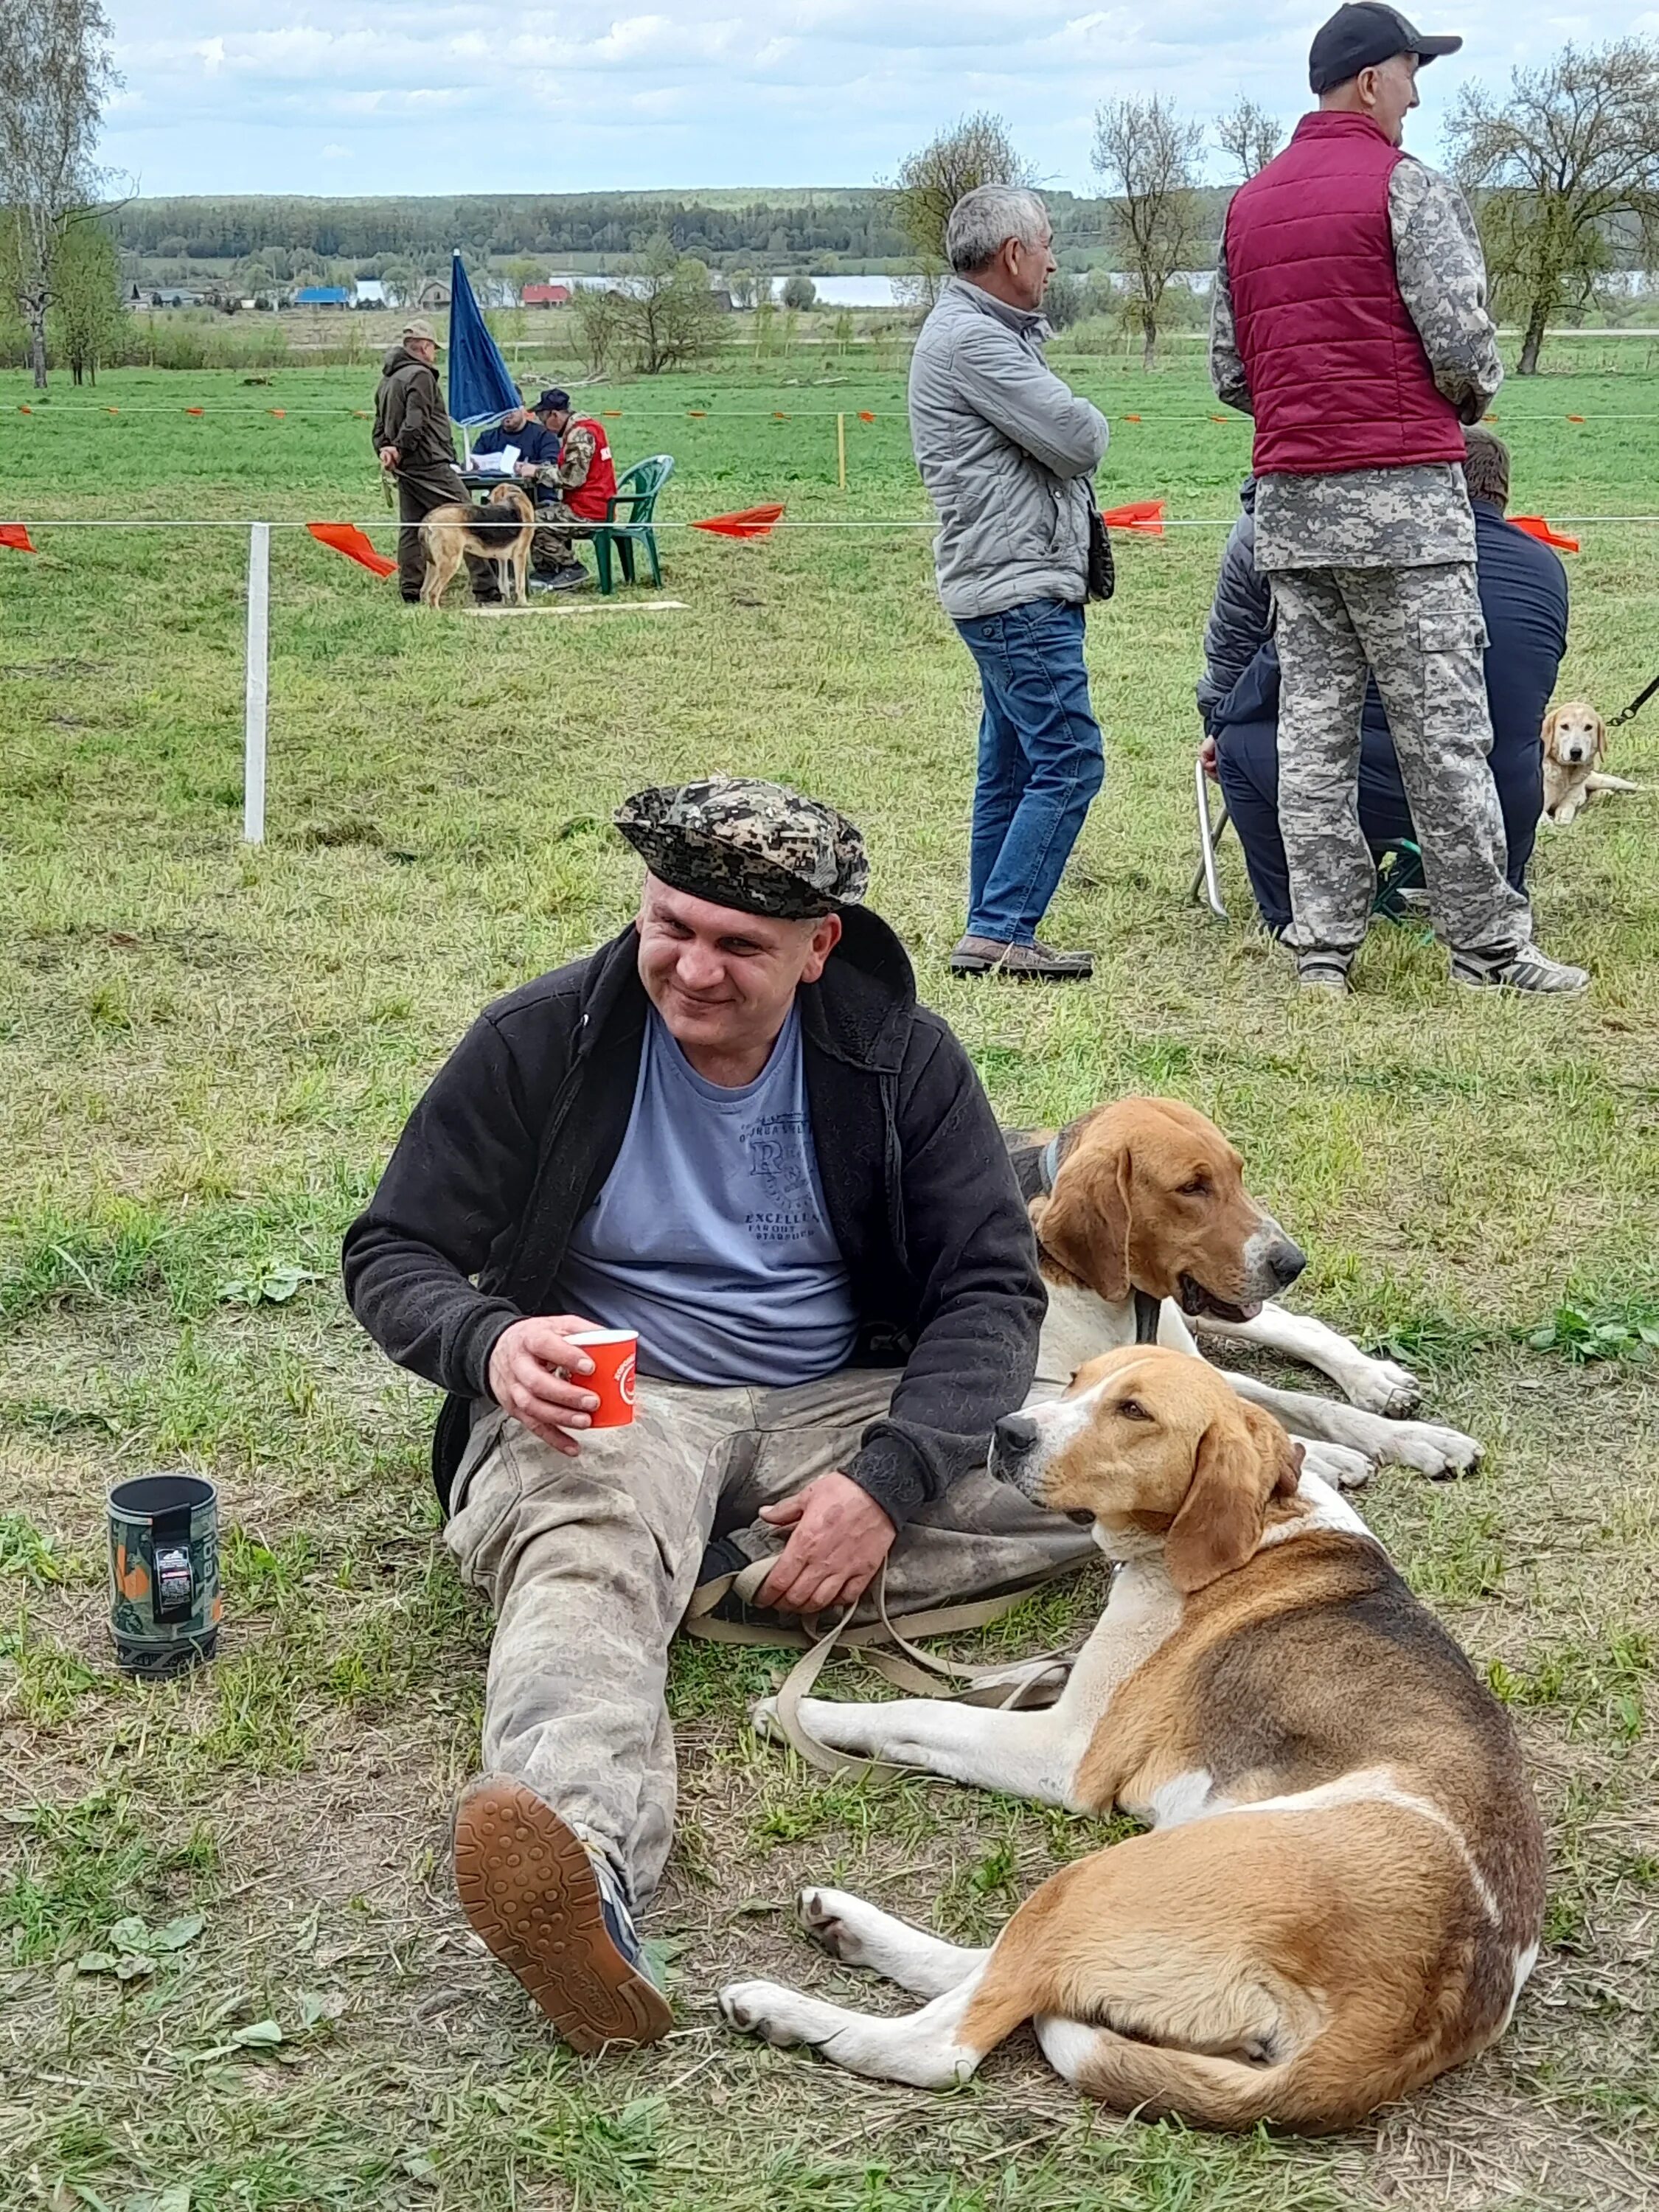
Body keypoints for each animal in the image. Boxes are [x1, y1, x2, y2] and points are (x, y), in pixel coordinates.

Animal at [418, 482, 535, 606]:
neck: (514, 496)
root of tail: (431, 517)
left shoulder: (502, 559)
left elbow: (504, 583)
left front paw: (506, 604)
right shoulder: (520, 555)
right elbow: (520, 584)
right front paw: (523, 604)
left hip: (434, 565)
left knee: (424, 591)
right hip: (451, 562)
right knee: (433, 593)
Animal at [721, 1336, 1557, 2132]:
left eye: (1134, 1411)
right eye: (1078, 1378)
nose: (1008, 1431)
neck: (1266, 1521)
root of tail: (1419, 2013)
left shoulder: (1066, 1754)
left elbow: (922, 1712)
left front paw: (803, 1712)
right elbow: (993, 1684)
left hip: (1101, 1878)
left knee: (947, 2044)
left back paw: (792, 2012)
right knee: (1014, 1973)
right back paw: (850, 1930)